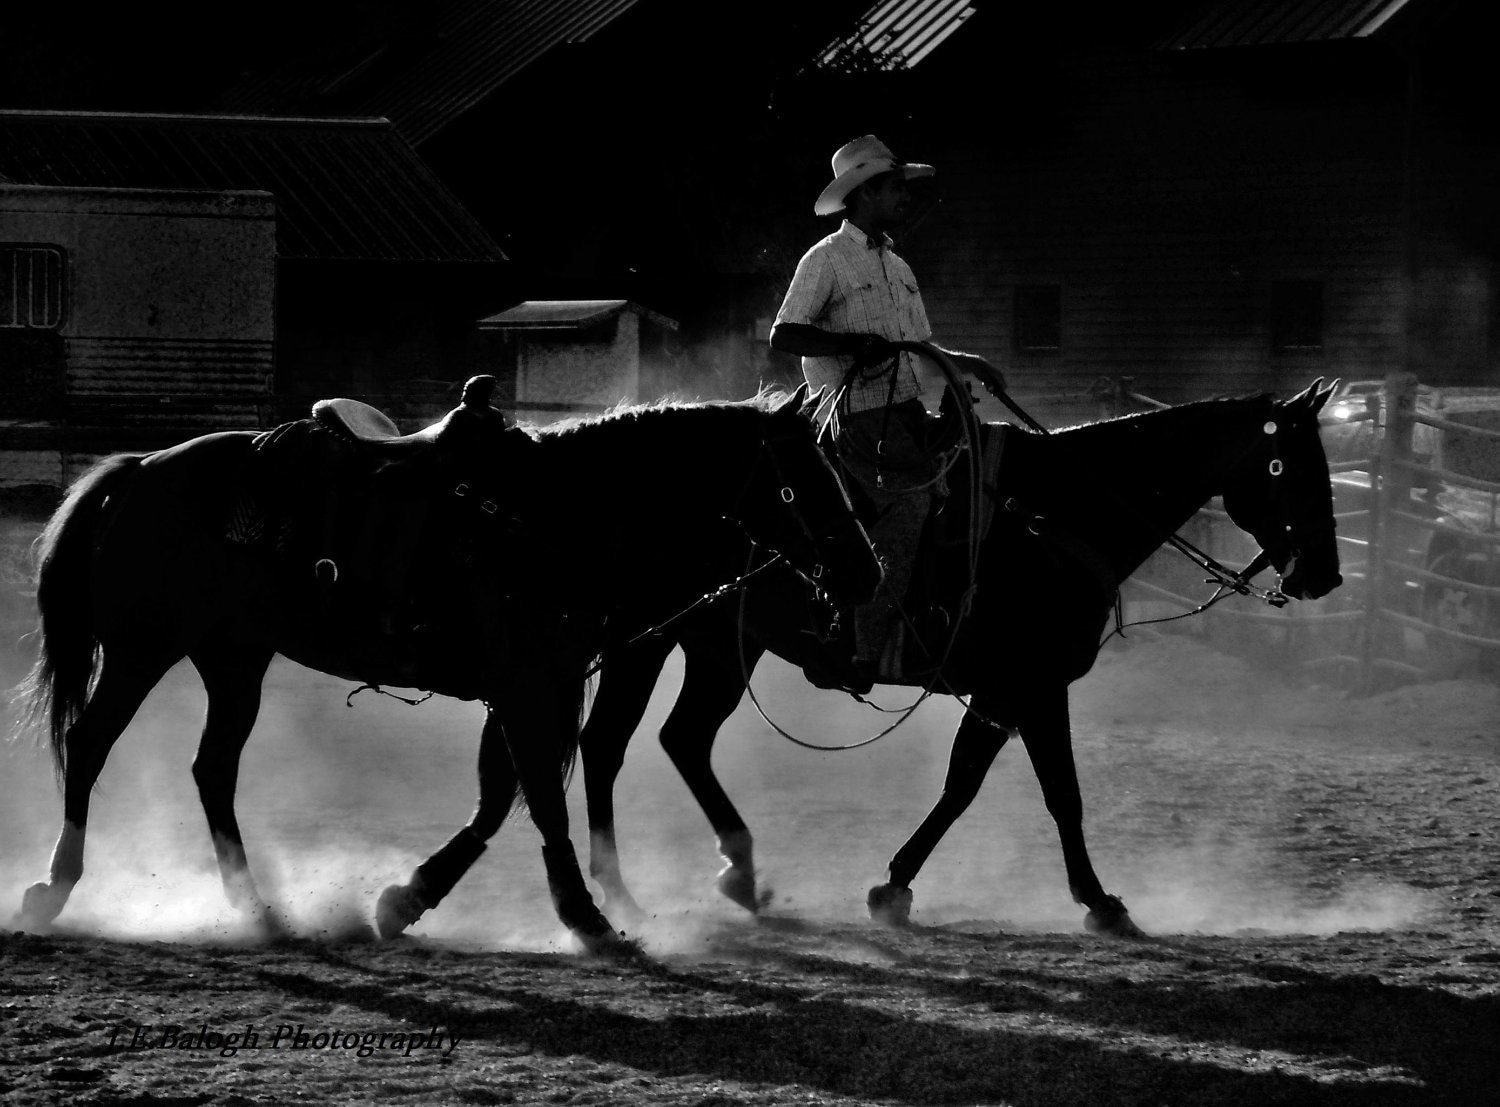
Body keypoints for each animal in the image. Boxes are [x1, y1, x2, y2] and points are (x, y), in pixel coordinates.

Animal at [11, 381, 876, 948]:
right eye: (804, 480)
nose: (865, 569)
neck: (561, 516)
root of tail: (138, 471)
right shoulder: (532, 685)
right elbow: (539, 799)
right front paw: (586, 914)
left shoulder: (529, 687)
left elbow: (499, 798)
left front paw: (407, 896)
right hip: (142, 648)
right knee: (91, 744)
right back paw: (54, 887)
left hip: (234, 659)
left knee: (212, 768)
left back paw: (256, 908)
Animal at [576, 375, 1350, 936]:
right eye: (1291, 467)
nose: (1326, 575)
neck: (1058, 514)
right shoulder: (1029, 685)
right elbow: (1036, 791)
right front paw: (1096, 901)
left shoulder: (1013, 692)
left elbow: (984, 785)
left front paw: (899, 885)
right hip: (651, 640)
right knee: (614, 742)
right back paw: (629, 890)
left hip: (713, 646)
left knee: (675, 738)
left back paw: (735, 873)